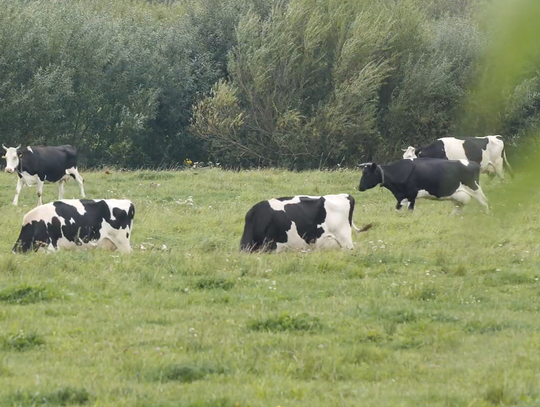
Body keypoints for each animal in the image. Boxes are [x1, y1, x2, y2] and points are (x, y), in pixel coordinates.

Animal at [358, 158, 490, 214]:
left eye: (366, 173)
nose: (359, 187)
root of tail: (473, 163)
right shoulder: (401, 196)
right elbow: (398, 209)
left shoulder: (411, 194)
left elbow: (410, 210)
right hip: (458, 195)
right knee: (458, 207)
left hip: (475, 188)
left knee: (484, 202)